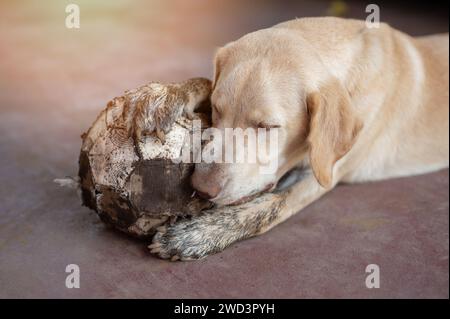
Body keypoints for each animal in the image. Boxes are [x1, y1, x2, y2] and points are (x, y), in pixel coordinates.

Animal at [144, 17, 446, 262]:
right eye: (217, 110)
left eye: (267, 126)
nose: (201, 188)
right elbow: (204, 83)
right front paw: (171, 95)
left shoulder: (321, 176)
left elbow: (267, 206)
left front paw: (195, 234)